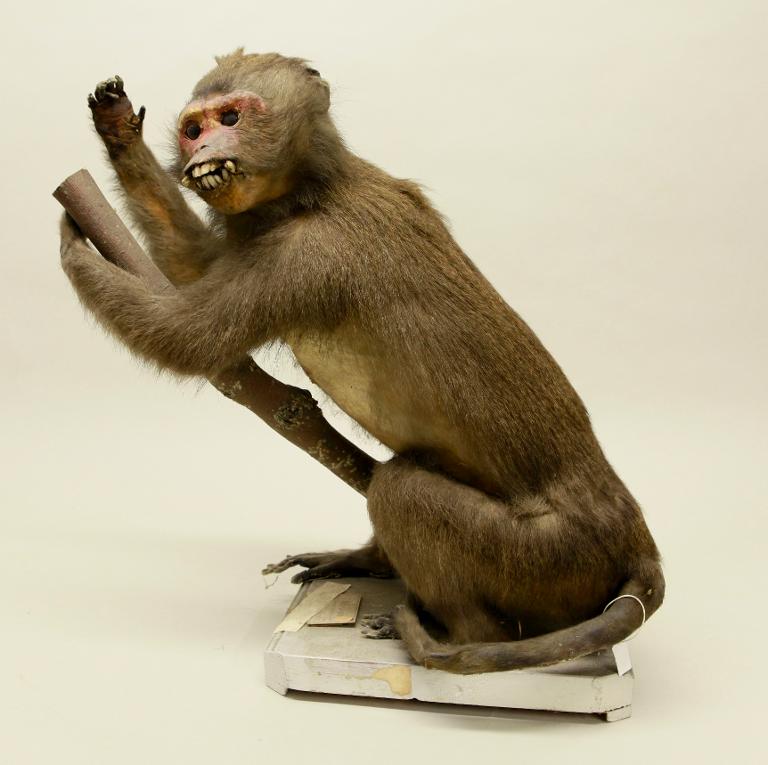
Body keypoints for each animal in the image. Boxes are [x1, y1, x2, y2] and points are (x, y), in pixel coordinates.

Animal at [60, 50, 664, 674]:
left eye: (230, 117)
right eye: (193, 127)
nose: (202, 147)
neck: (317, 188)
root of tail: (635, 541)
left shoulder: (308, 256)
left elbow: (189, 338)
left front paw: (73, 248)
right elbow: (193, 266)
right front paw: (117, 131)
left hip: (550, 561)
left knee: (403, 493)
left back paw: (444, 634)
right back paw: (370, 562)